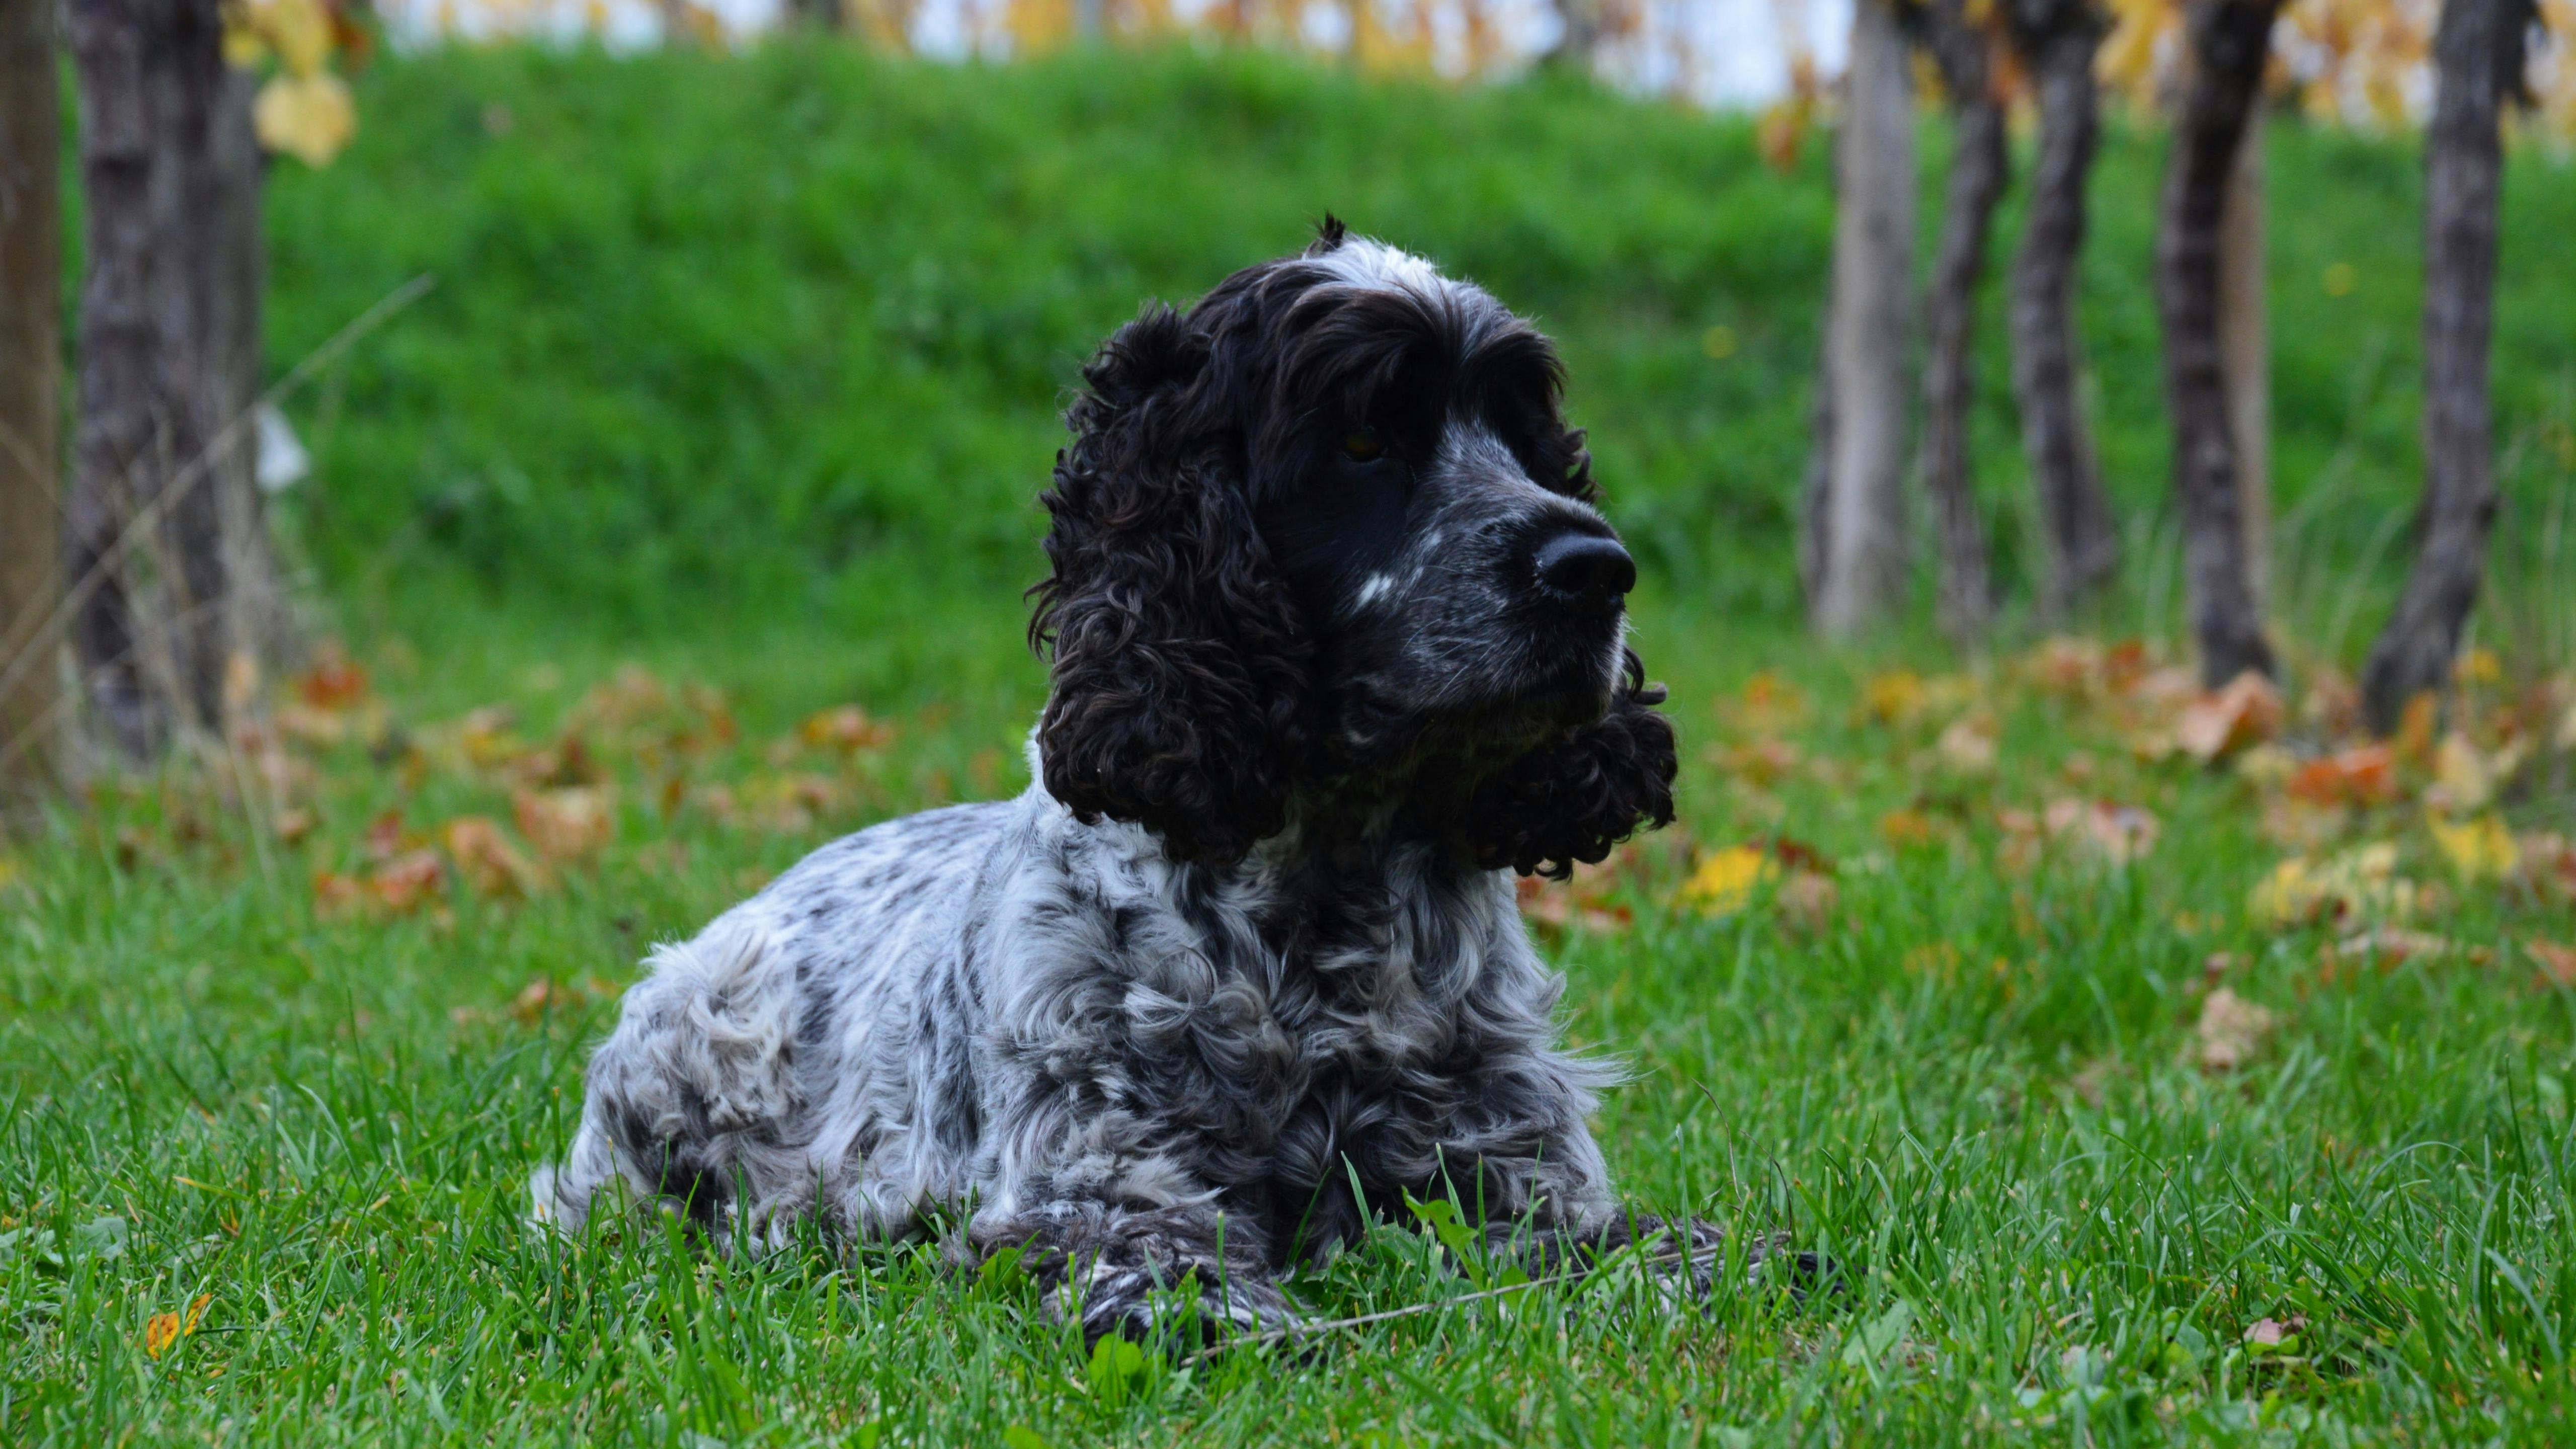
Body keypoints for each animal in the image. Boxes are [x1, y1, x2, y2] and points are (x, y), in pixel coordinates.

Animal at [528, 220, 1772, 1340]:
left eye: (1524, 437)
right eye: (1365, 441)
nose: (1596, 568)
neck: (1328, 896)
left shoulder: (1501, 1154)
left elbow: (1645, 1247)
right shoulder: (1096, 1175)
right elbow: (1175, 1272)